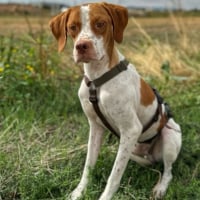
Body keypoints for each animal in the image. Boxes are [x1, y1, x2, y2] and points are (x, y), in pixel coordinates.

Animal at [49, 2, 182, 199]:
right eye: (72, 27)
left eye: (100, 24)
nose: (82, 46)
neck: (98, 80)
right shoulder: (95, 127)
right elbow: (88, 166)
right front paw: (79, 192)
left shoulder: (131, 130)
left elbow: (114, 174)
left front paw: (105, 197)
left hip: (170, 136)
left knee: (168, 171)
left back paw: (160, 188)